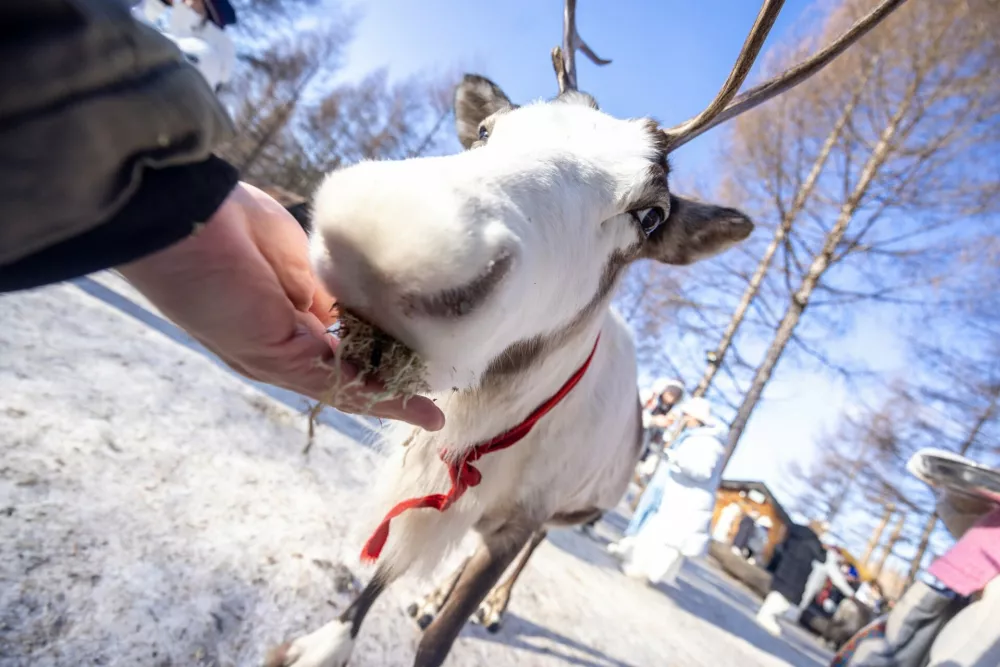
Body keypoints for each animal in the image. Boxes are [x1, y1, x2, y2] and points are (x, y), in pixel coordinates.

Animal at [265, 1, 906, 665]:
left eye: (650, 214)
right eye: (488, 130)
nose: (393, 237)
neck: (491, 424)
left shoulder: (521, 517)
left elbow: (442, 637)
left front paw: (455, 613)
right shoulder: (430, 475)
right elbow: (378, 576)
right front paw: (325, 642)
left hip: (563, 514)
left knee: (530, 554)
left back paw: (493, 609)